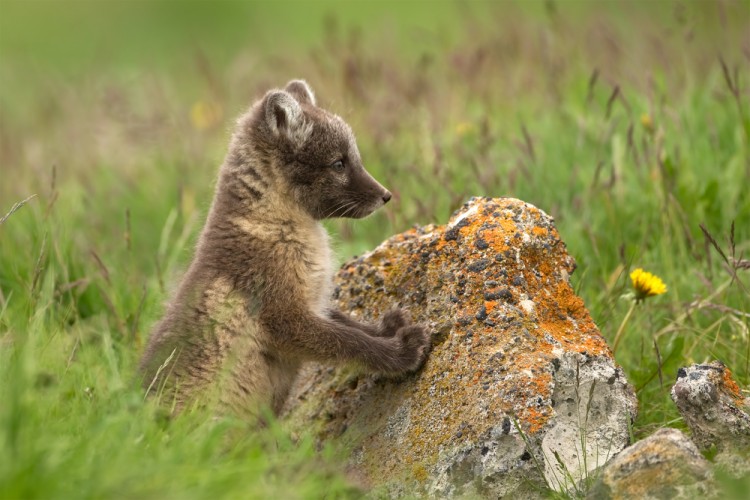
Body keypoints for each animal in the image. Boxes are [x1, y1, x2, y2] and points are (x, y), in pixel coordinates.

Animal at [139, 80, 432, 416]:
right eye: (339, 163)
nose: (385, 195)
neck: (274, 226)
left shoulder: (314, 301)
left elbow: (348, 323)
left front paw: (387, 327)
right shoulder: (285, 315)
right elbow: (348, 341)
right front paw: (402, 351)